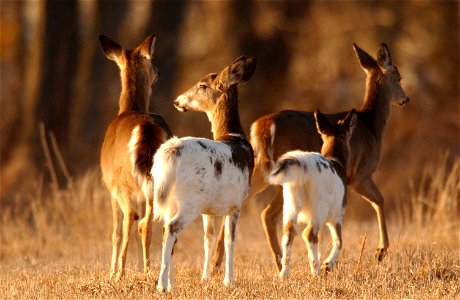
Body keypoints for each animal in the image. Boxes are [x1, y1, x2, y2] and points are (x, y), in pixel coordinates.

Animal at [99, 35, 172, 282]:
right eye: (154, 64)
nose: (159, 73)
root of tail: (146, 126)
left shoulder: (110, 187)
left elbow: (115, 231)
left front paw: (112, 272)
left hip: (123, 183)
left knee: (131, 218)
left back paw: (120, 273)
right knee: (153, 225)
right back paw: (152, 270)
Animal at [152, 55, 256, 292]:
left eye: (202, 86)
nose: (177, 101)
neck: (234, 138)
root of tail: (173, 150)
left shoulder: (209, 211)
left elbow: (208, 239)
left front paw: (205, 278)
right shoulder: (236, 204)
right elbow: (229, 240)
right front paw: (229, 281)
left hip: (169, 197)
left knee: (166, 231)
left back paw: (170, 284)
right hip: (191, 199)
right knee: (171, 228)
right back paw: (161, 285)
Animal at [272, 108, 358, 278]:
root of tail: (302, 163)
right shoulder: (337, 215)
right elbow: (339, 242)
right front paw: (327, 265)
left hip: (290, 202)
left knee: (288, 233)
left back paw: (284, 275)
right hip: (319, 206)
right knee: (309, 234)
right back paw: (316, 271)